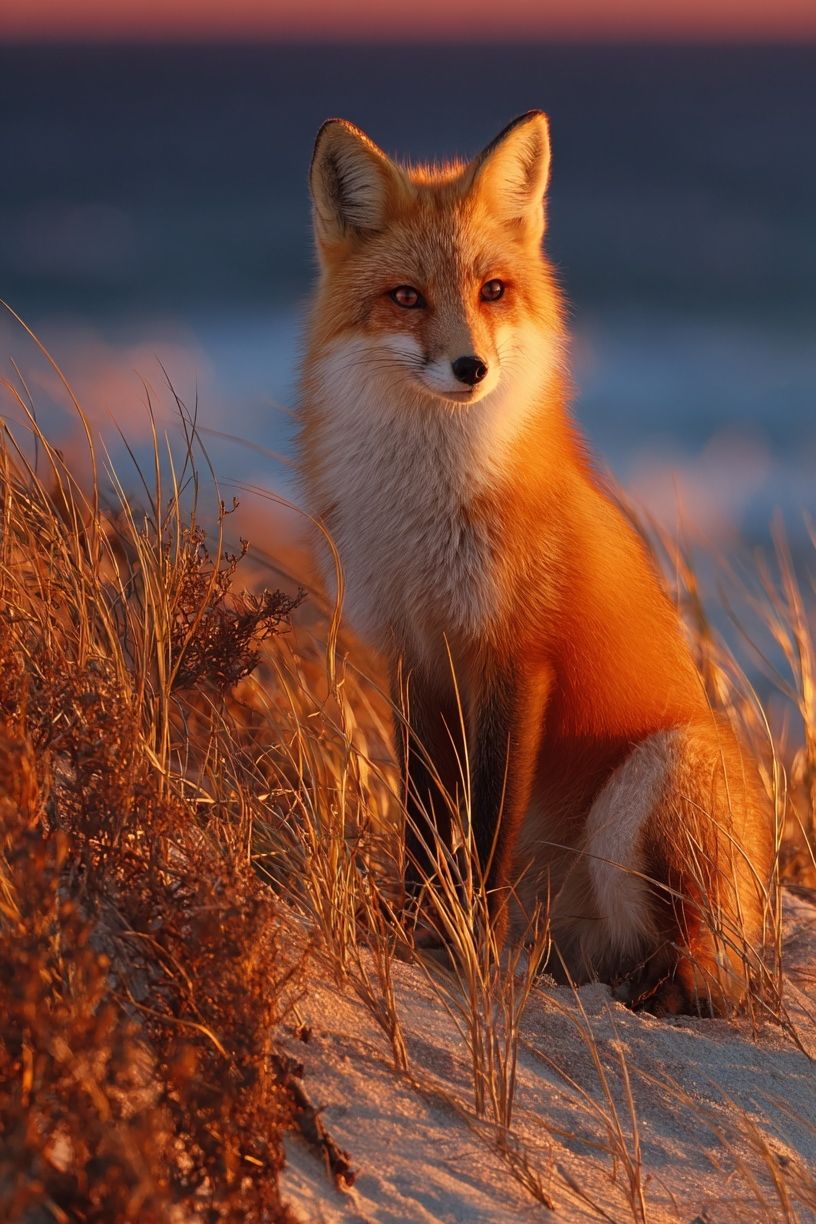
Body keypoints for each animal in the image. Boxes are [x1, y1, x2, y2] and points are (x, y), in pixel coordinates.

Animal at [297, 111, 773, 1014]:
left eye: (493, 291)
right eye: (406, 297)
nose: (470, 368)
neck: (427, 508)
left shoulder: (515, 659)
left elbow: (487, 829)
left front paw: (469, 946)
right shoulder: (416, 658)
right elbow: (423, 821)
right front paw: (415, 926)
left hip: (662, 768)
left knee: (705, 977)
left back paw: (648, 987)